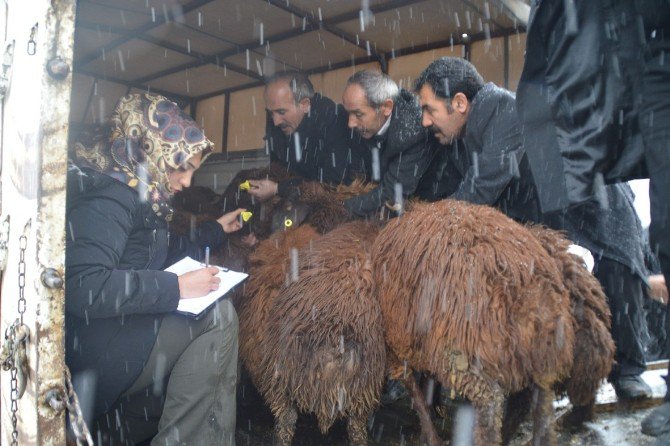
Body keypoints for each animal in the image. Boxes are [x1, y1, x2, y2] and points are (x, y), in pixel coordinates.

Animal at [372, 200, 576, 444]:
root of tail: (524, 283)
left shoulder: (396, 345)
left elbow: (413, 388)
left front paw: (429, 434)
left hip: (469, 356)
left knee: (490, 410)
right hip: (544, 355)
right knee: (542, 408)